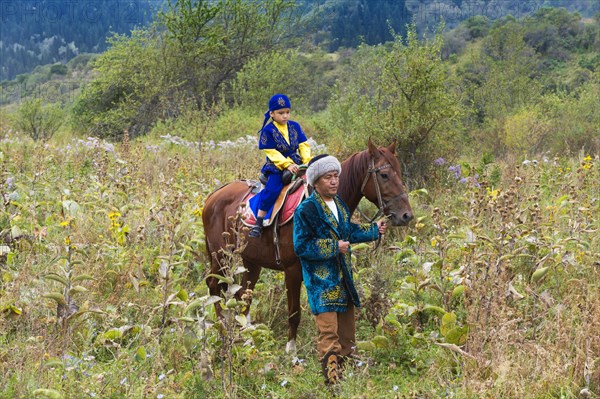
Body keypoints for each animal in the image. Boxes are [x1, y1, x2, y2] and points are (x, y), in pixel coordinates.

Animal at [203, 140, 412, 354]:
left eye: (399, 172)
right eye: (384, 175)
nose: (406, 215)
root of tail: (213, 196)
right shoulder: (292, 270)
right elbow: (294, 313)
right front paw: (291, 351)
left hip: (251, 261)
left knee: (244, 294)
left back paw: (247, 337)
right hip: (222, 256)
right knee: (214, 286)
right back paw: (220, 330)